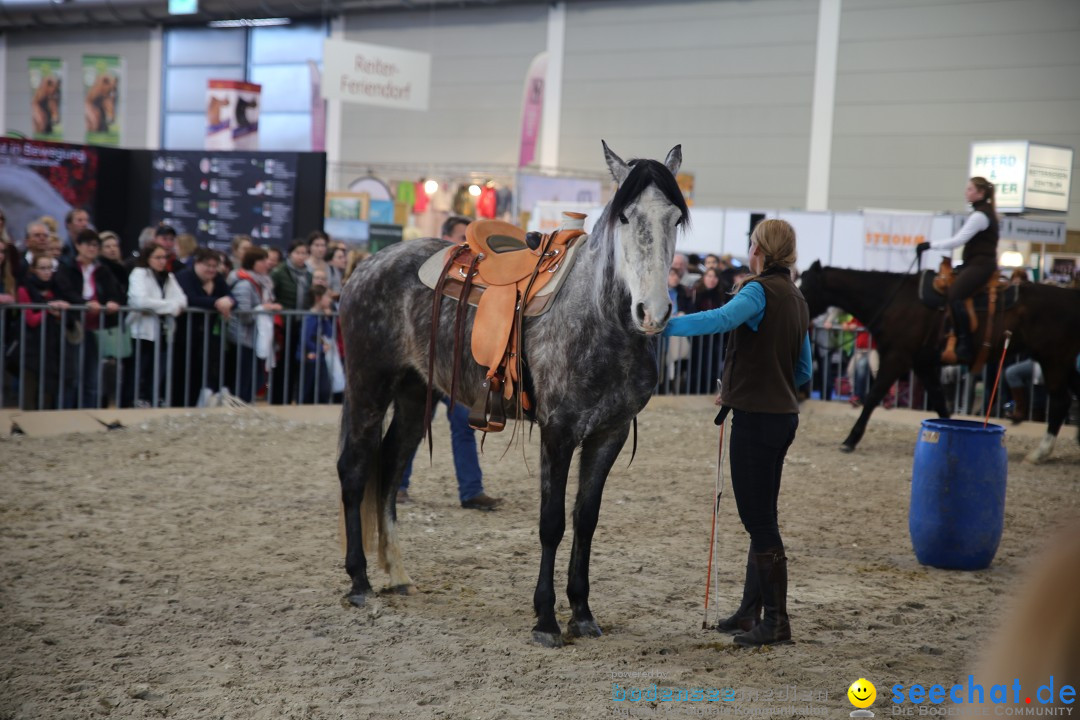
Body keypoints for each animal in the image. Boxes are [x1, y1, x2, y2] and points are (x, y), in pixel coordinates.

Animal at [799, 262, 1075, 464]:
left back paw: (1040, 452)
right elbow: (941, 403)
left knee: (1060, 402)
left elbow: (874, 396)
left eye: (806, 285)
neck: (893, 300)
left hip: (1053, 360)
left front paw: (850, 440)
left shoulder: (897, 358)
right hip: (1061, 361)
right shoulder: (923, 365)